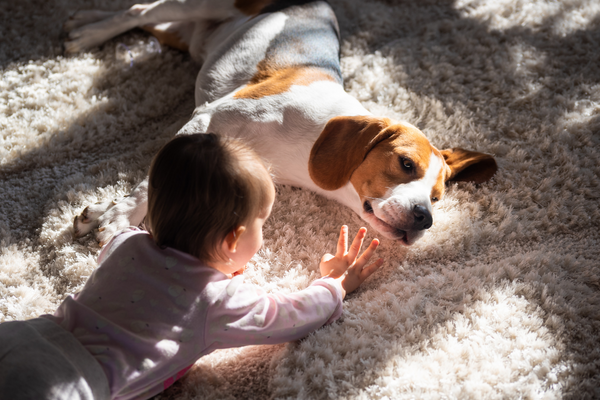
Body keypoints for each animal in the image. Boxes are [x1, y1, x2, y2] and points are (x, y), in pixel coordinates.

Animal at [67, 0, 496, 245]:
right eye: (405, 164)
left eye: (437, 197)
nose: (425, 218)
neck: (310, 140)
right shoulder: (206, 119)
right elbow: (148, 186)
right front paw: (119, 218)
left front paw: (103, 212)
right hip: (196, 5)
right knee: (140, 9)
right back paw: (88, 34)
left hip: (186, 34)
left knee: (140, 14)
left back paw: (86, 19)